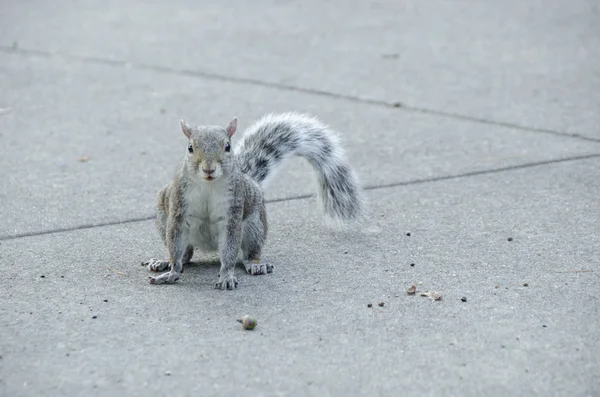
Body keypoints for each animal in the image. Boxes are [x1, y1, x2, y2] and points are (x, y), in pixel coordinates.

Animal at [143, 111, 364, 288]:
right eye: (190, 148)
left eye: (227, 146)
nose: (208, 168)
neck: (208, 185)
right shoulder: (178, 207)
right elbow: (176, 242)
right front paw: (171, 272)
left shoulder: (233, 210)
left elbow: (230, 250)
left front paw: (226, 276)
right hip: (163, 217)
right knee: (186, 253)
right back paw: (163, 261)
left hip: (254, 225)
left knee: (248, 252)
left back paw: (255, 264)